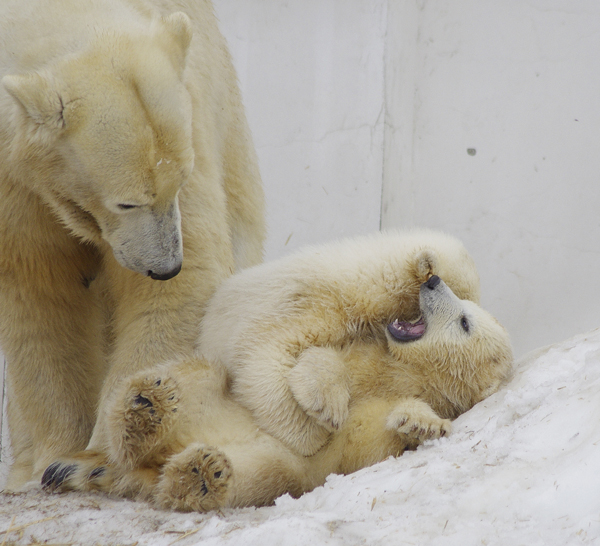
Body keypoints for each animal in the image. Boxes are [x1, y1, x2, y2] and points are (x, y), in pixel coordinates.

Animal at [0, 0, 264, 484]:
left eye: (178, 182)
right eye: (126, 202)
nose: (165, 266)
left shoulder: (190, 120)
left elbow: (179, 288)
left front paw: (93, 460)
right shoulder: (16, 179)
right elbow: (39, 291)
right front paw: (54, 455)